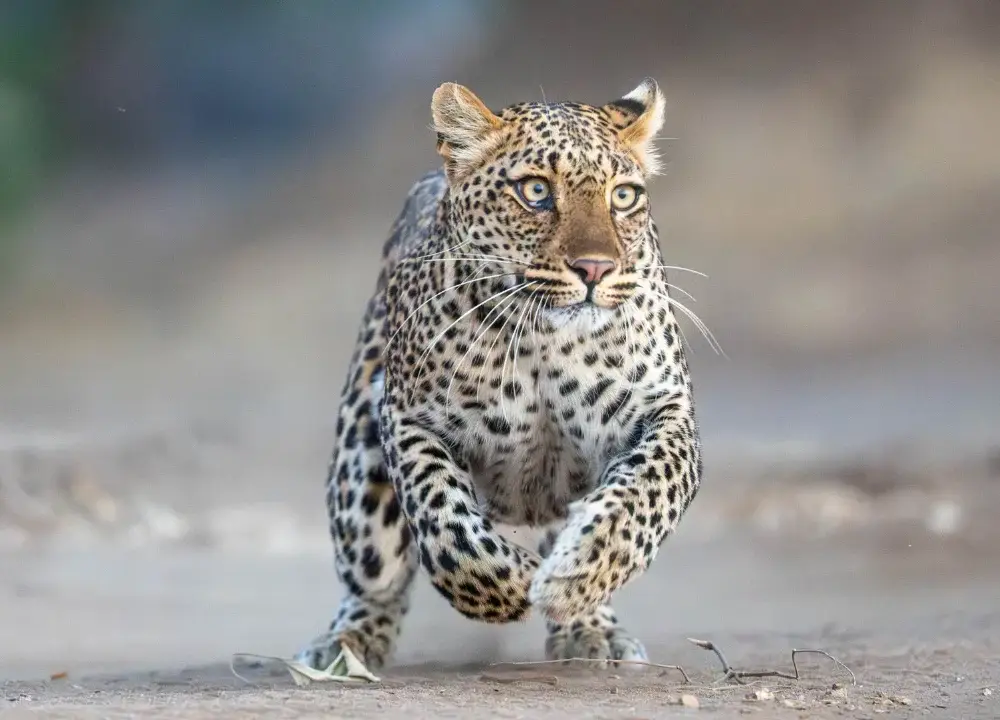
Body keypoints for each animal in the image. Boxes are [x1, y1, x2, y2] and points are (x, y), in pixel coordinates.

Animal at [295, 77, 703, 672]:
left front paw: (574, 578)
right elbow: (443, 521)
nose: (597, 269)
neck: (546, 342)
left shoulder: (663, 409)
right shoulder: (408, 420)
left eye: (623, 196)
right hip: (358, 463)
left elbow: (644, 495)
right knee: (374, 577)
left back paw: (590, 629)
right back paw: (346, 643)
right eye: (536, 191)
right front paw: (510, 585)